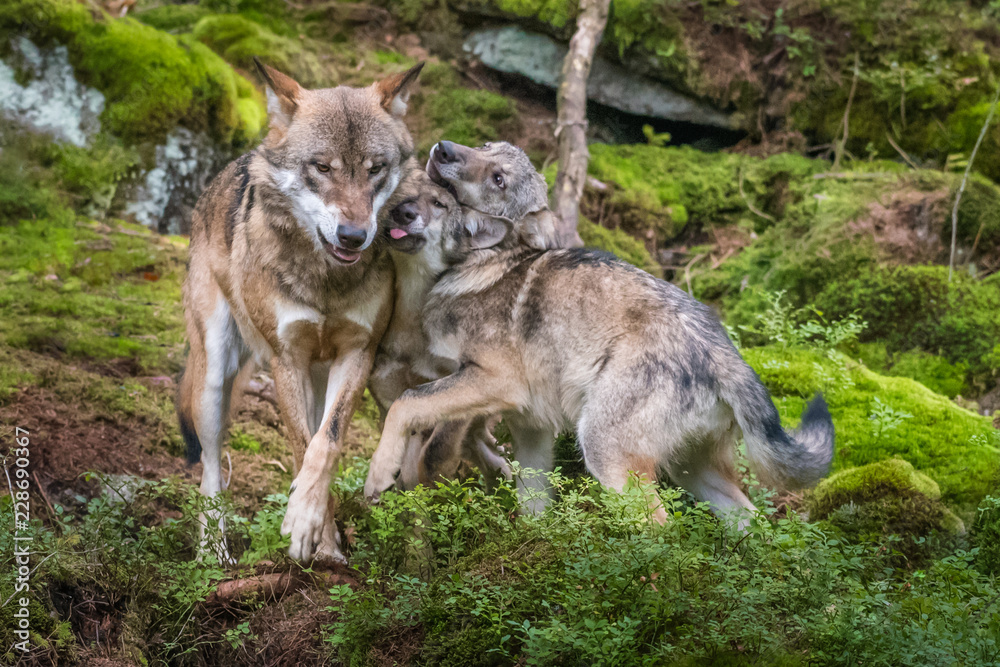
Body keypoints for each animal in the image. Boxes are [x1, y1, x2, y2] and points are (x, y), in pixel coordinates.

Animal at [177, 59, 423, 564]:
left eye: (375, 169)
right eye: (322, 167)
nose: (353, 236)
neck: (326, 281)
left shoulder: (357, 353)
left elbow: (325, 445)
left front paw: (319, 540)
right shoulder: (285, 357)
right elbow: (300, 443)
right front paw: (306, 532)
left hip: (316, 373)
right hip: (214, 376)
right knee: (209, 468)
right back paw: (213, 554)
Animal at [364, 140, 834, 524]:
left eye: (499, 179)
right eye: (484, 146)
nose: (443, 148)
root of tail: (726, 353)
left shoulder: (492, 381)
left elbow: (408, 405)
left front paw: (379, 475)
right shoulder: (531, 428)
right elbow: (533, 506)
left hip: (604, 450)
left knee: (660, 528)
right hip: (691, 472)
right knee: (751, 524)